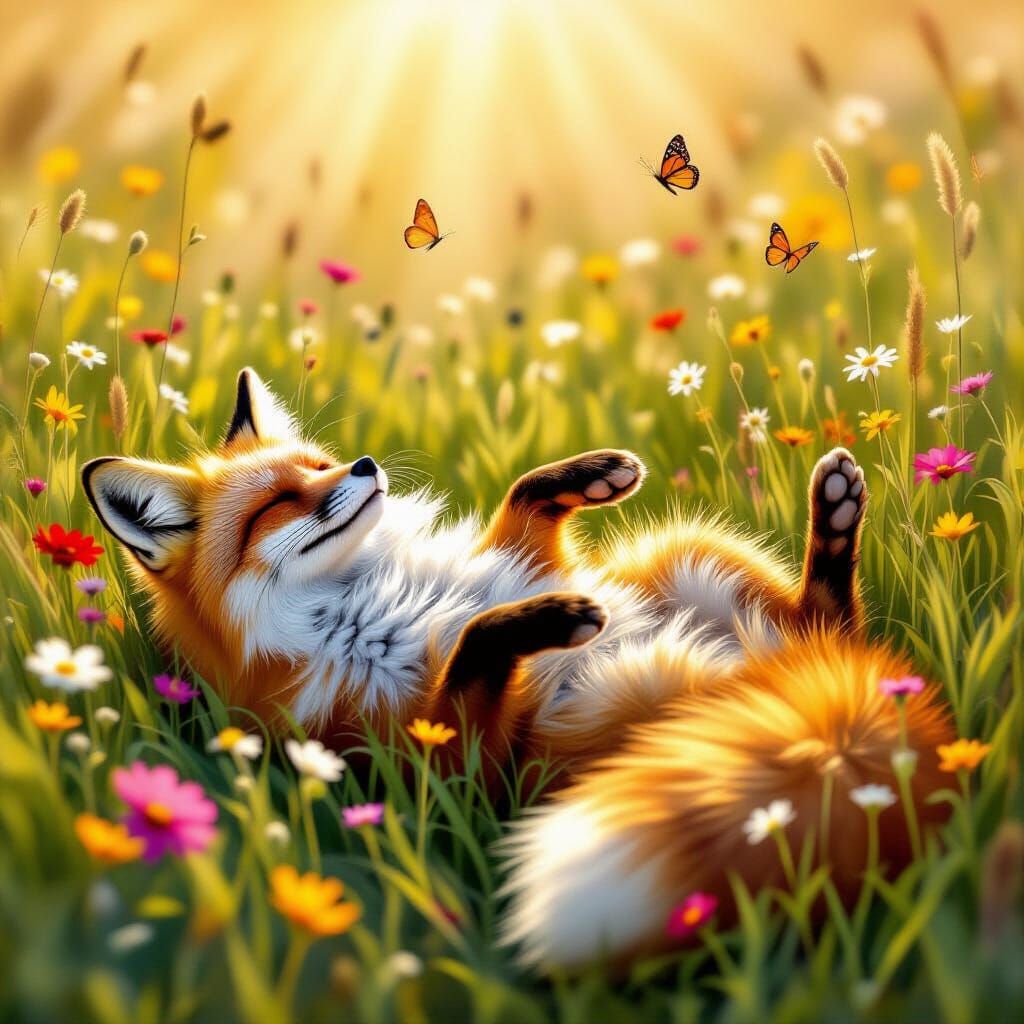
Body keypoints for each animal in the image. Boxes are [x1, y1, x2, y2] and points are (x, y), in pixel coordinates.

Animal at [82, 367, 952, 967]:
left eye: (321, 463)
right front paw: (547, 620)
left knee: (828, 616)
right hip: (614, 716)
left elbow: (523, 504)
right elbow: (473, 649)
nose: (363, 465)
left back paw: (834, 517)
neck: (373, 588)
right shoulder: (441, 762)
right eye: (276, 505)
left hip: (687, 555)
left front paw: (589, 473)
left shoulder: (528, 559)